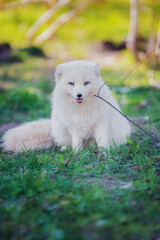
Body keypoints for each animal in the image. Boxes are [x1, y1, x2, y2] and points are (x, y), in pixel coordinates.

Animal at [1, 61, 131, 153]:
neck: (81, 110)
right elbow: (76, 142)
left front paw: (105, 153)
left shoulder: (100, 123)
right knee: (65, 142)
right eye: (71, 83)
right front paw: (76, 153)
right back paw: (66, 149)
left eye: (86, 83)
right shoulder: (74, 126)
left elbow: (102, 140)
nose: (79, 95)